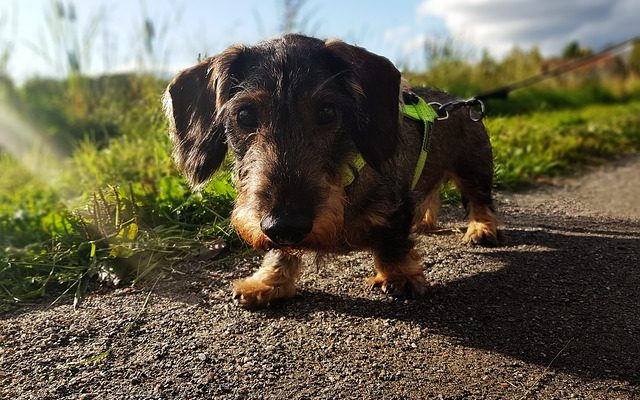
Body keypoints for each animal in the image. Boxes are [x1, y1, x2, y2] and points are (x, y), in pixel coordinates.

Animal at [161, 34, 500, 308]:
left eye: (327, 112)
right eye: (244, 115)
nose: (285, 225)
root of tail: (457, 102)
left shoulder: (396, 207)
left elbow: (393, 241)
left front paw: (399, 275)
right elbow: (279, 252)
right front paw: (268, 282)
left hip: (474, 166)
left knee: (480, 200)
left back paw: (480, 229)